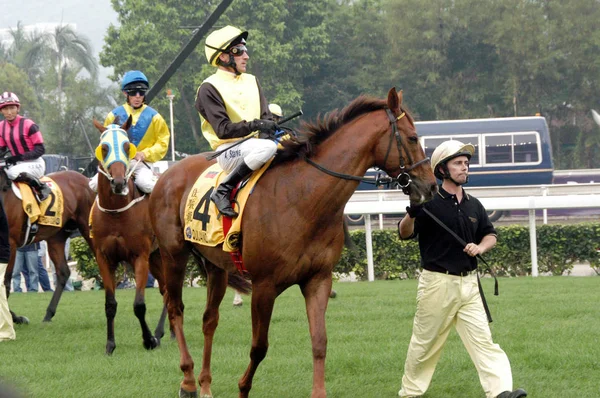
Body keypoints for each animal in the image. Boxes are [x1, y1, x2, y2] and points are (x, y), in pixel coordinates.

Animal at [0, 162, 95, 324]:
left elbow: (5, 282)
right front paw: (15, 318)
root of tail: (85, 178)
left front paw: (15, 318)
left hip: (88, 229)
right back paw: (48, 314)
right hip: (56, 238)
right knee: (63, 272)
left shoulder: (11, 245)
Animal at [89, 118, 165, 354]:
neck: (116, 213)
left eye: (126, 146)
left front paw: (148, 340)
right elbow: (110, 304)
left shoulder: (140, 257)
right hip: (156, 258)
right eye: (104, 148)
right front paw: (110, 344)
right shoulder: (104, 258)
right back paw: (162, 332)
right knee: (166, 291)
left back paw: (160, 333)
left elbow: (139, 305)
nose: (119, 182)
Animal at [147, 88, 434, 398]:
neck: (303, 199)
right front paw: (243, 388)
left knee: (209, 319)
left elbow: (319, 341)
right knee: (175, 308)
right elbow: (259, 347)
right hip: (173, 254)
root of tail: (166, 175)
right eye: (413, 138)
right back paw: (187, 381)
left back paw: (205, 384)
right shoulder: (264, 285)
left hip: (216, 266)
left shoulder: (318, 279)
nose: (431, 186)